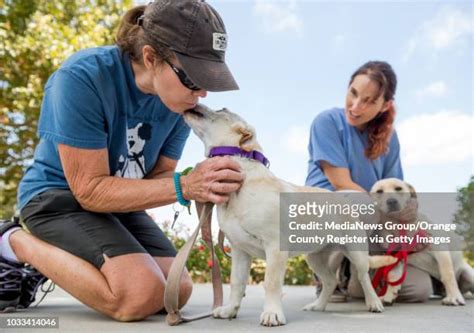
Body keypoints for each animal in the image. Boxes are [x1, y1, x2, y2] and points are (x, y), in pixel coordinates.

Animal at [183, 105, 394, 326]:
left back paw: (374, 303)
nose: (195, 103)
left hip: (356, 252)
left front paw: (272, 313)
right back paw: (318, 306)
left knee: (364, 278)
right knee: (330, 280)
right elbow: (236, 283)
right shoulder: (240, 250)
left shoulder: (274, 247)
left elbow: (271, 282)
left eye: (221, 110)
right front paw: (230, 310)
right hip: (314, 257)